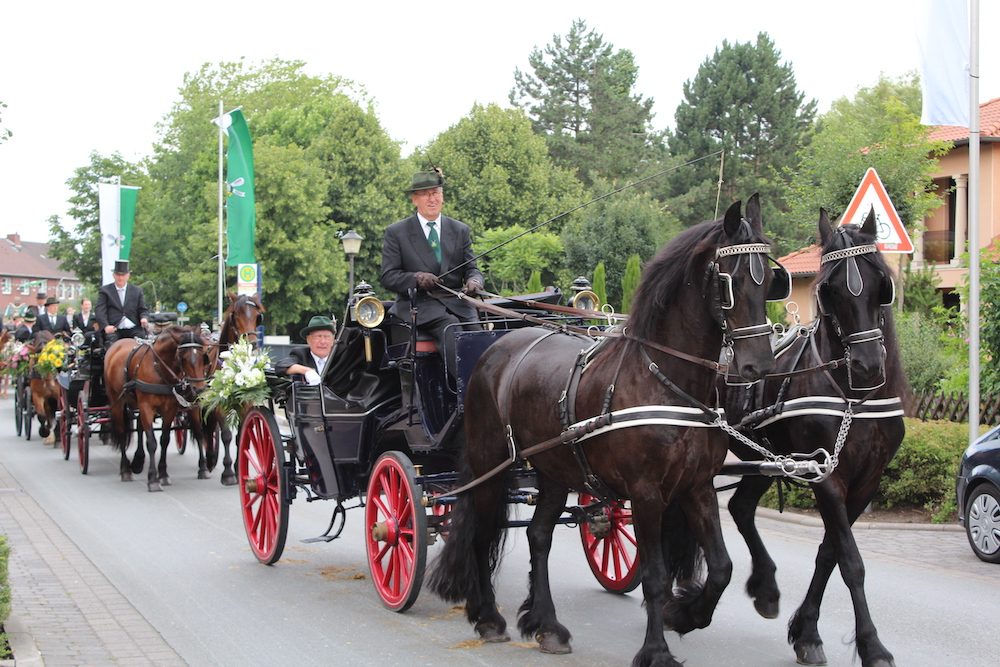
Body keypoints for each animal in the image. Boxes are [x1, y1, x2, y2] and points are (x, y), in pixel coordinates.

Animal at [104, 328, 212, 490]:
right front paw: (153, 479)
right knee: (122, 432)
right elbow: (152, 442)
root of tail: (117, 344)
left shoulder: (169, 409)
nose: (198, 390)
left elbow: (164, 440)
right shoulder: (146, 406)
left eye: (203, 357)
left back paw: (138, 460)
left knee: (140, 426)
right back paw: (125, 470)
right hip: (117, 403)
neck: (158, 368)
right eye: (183, 358)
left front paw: (163, 474)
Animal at [426, 196, 784, 667]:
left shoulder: (697, 486)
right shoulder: (647, 493)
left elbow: (722, 568)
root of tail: (496, 348)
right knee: (482, 532)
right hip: (491, 462)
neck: (665, 380)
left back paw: (547, 625)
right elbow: (654, 576)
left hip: (553, 470)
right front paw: (657, 650)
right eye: (729, 282)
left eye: (771, 281)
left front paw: (687, 615)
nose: (758, 366)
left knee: (539, 537)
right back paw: (488, 618)